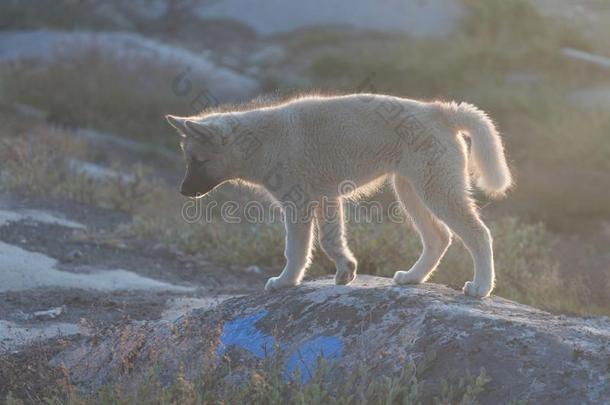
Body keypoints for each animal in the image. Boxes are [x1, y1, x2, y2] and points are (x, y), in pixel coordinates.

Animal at [165, 94, 508, 296]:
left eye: (197, 160)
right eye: (188, 159)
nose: (183, 191)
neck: (261, 142)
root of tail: (438, 109)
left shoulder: (298, 204)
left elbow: (296, 250)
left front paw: (286, 281)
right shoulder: (327, 199)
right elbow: (331, 241)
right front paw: (346, 270)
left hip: (435, 190)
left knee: (479, 234)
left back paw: (480, 287)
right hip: (411, 191)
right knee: (439, 238)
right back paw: (413, 277)